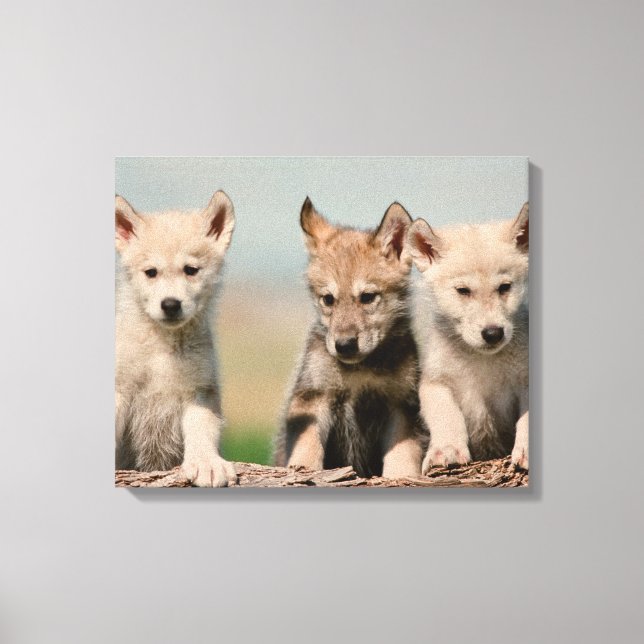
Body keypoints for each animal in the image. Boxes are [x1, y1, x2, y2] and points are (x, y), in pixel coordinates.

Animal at [115, 191, 237, 487]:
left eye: (190, 270)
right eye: (151, 272)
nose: (170, 304)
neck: (163, 345)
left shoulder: (199, 390)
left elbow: (202, 430)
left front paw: (207, 464)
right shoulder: (120, 386)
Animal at [274, 197, 424, 479]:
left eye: (367, 297)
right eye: (328, 299)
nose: (344, 346)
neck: (360, 370)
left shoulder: (401, 405)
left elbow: (403, 454)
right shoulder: (313, 397)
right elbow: (307, 446)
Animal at [408, 203, 529, 472]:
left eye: (504, 287)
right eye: (463, 290)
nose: (493, 333)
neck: (481, 361)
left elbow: (527, 420)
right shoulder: (436, 382)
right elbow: (446, 416)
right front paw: (447, 450)